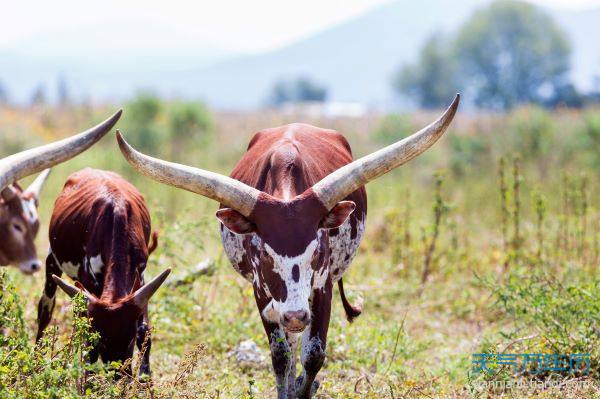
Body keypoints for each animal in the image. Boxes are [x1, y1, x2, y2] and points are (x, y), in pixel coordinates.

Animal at [36, 170, 170, 378]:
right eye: (102, 341)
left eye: (130, 338)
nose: (120, 375)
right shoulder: (88, 283)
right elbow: (88, 339)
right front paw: (88, 378)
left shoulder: (141, 279)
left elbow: (144, 329)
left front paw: (145, 377)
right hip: (52, 261)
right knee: (45, 309)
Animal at [118, 95, 464, 398]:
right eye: (265, 253)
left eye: (316, 251)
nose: (296, 315)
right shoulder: (261, 290)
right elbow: (281, 355)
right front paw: (289, 388)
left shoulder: (322, 286)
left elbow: (314, 354)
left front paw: (304, 388)